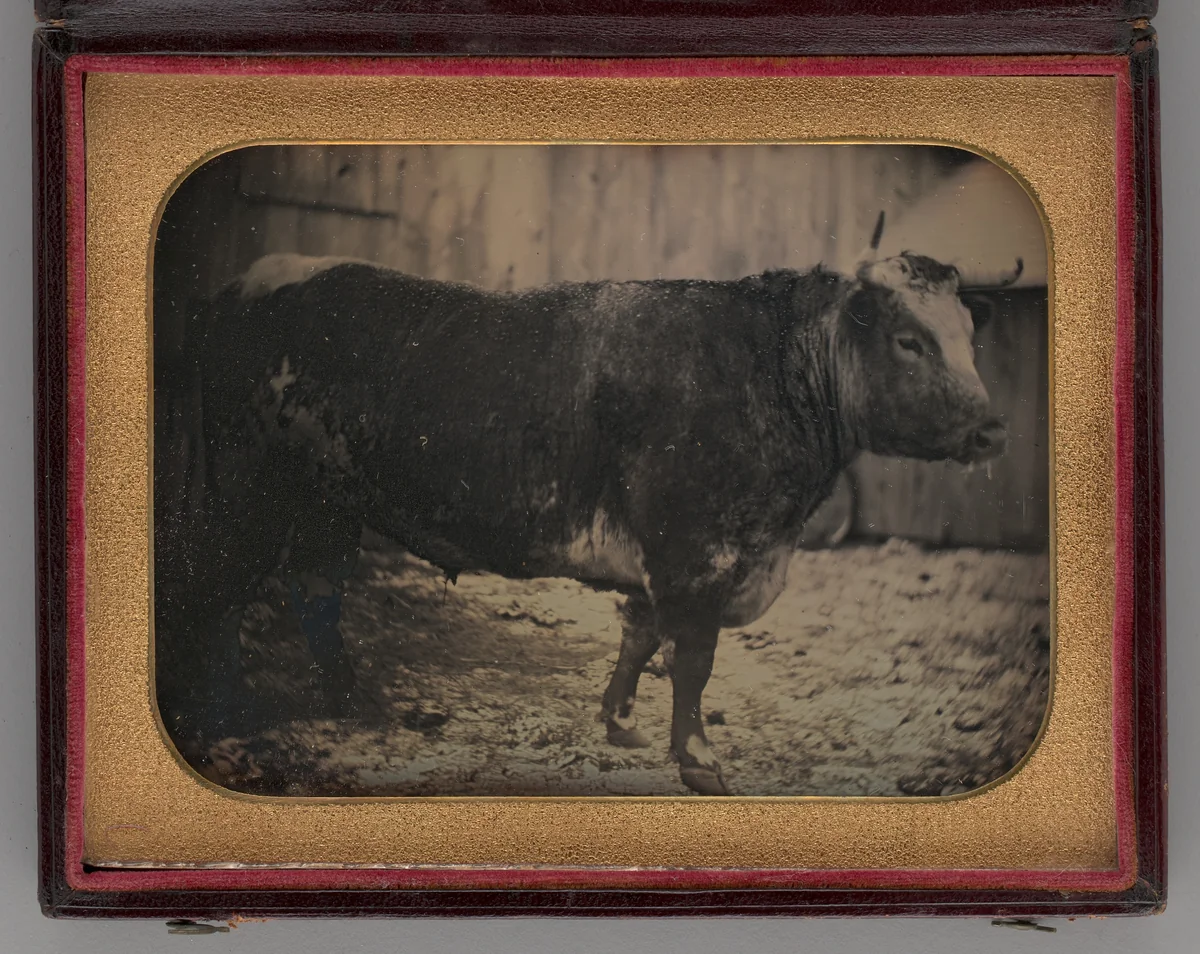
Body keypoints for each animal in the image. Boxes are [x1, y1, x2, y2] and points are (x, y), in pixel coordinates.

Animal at [154, 213, 1015, 795]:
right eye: (909, 340)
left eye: (969, 335)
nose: (991, 426)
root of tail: (245, 282)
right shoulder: (696, 554)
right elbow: (691, 662)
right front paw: (698, 759)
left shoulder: (669, 562)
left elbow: (639, 639)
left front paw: (620, 720)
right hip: (248, 496)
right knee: (217, 592)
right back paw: (225, 711)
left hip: (325, 505)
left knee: (316, 591)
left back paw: (353, 701)